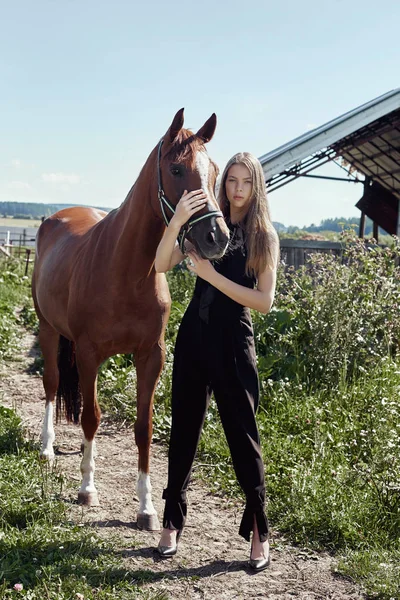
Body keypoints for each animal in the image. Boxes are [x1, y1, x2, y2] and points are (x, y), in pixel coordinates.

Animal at [32, 109, 230, 528]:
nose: (216, 238)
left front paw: (146, 507)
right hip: (48, 328)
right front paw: (87, 488)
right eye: (175, 169)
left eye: (215, 170)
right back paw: (47, 447)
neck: (127, 271)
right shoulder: (89, 353)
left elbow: (143, 427)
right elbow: (92, 416)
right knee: (52, 384)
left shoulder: (150, 356)